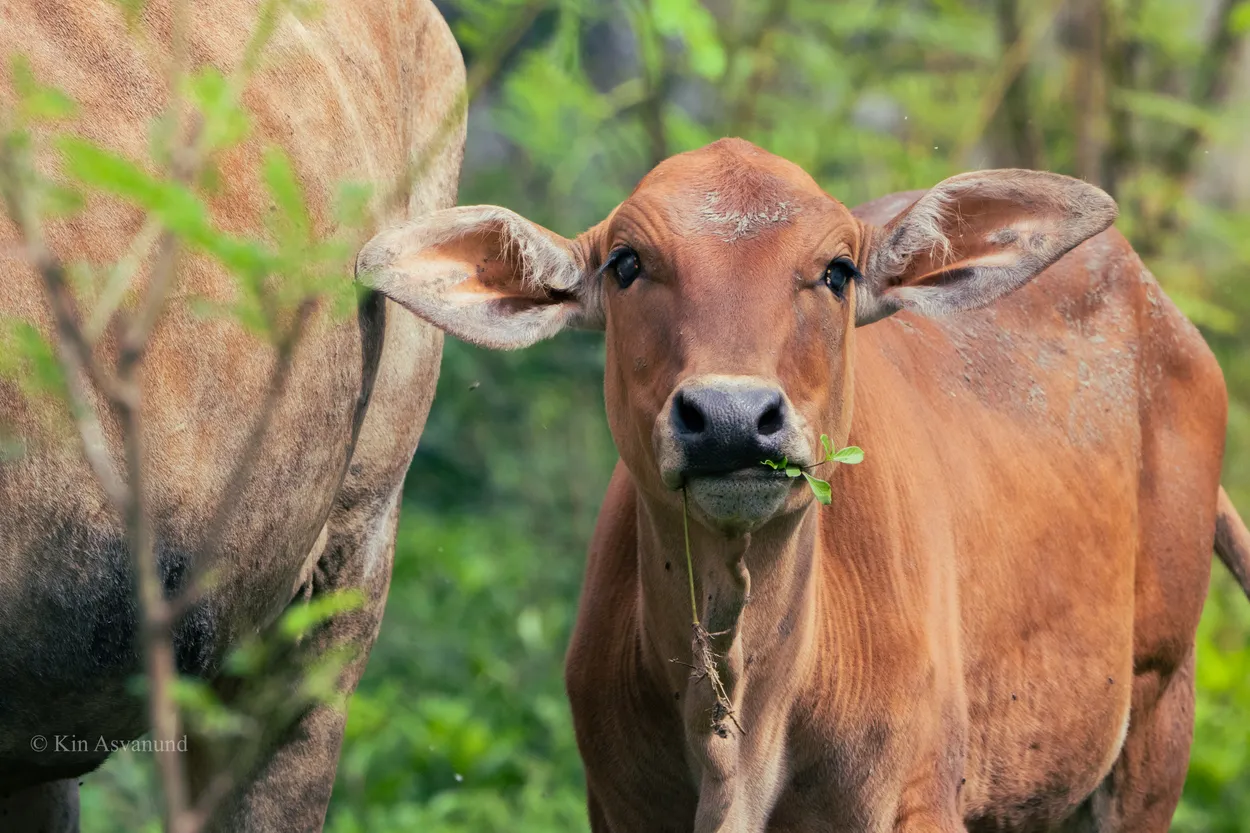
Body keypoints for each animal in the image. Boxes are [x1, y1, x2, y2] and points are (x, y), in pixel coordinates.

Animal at [358, 137, 1250, 832]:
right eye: (626, 263)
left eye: (838, 269)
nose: (730, 417)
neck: (741, 734)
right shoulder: (617, 802)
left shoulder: (918, 800)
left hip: (1157, 711)